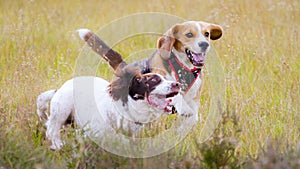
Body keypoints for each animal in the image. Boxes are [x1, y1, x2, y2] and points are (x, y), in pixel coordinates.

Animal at [36, 65, 179, 150]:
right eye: (154, 80)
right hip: (62, 108)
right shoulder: (92, 132)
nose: (177, 84)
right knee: (52, 130)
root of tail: (58, 89)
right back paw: (58, 145)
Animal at [78, 20, 223, 121]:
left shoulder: (194, 98)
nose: (204, 44)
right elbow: (176, 96)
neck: (184, 67)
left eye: (206, 34)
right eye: (189, 34)